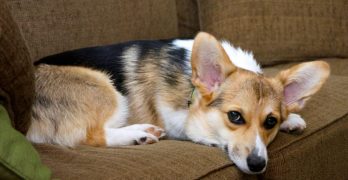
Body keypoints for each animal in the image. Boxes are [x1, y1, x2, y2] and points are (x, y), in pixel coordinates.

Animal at [29, 31, 328, 174]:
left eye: (271, 121)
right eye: (235, 116)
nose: (257, 165)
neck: (190, 90)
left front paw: (292, 118)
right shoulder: (180, 123)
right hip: (104, 87)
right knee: (89, 135)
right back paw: (138, 133)